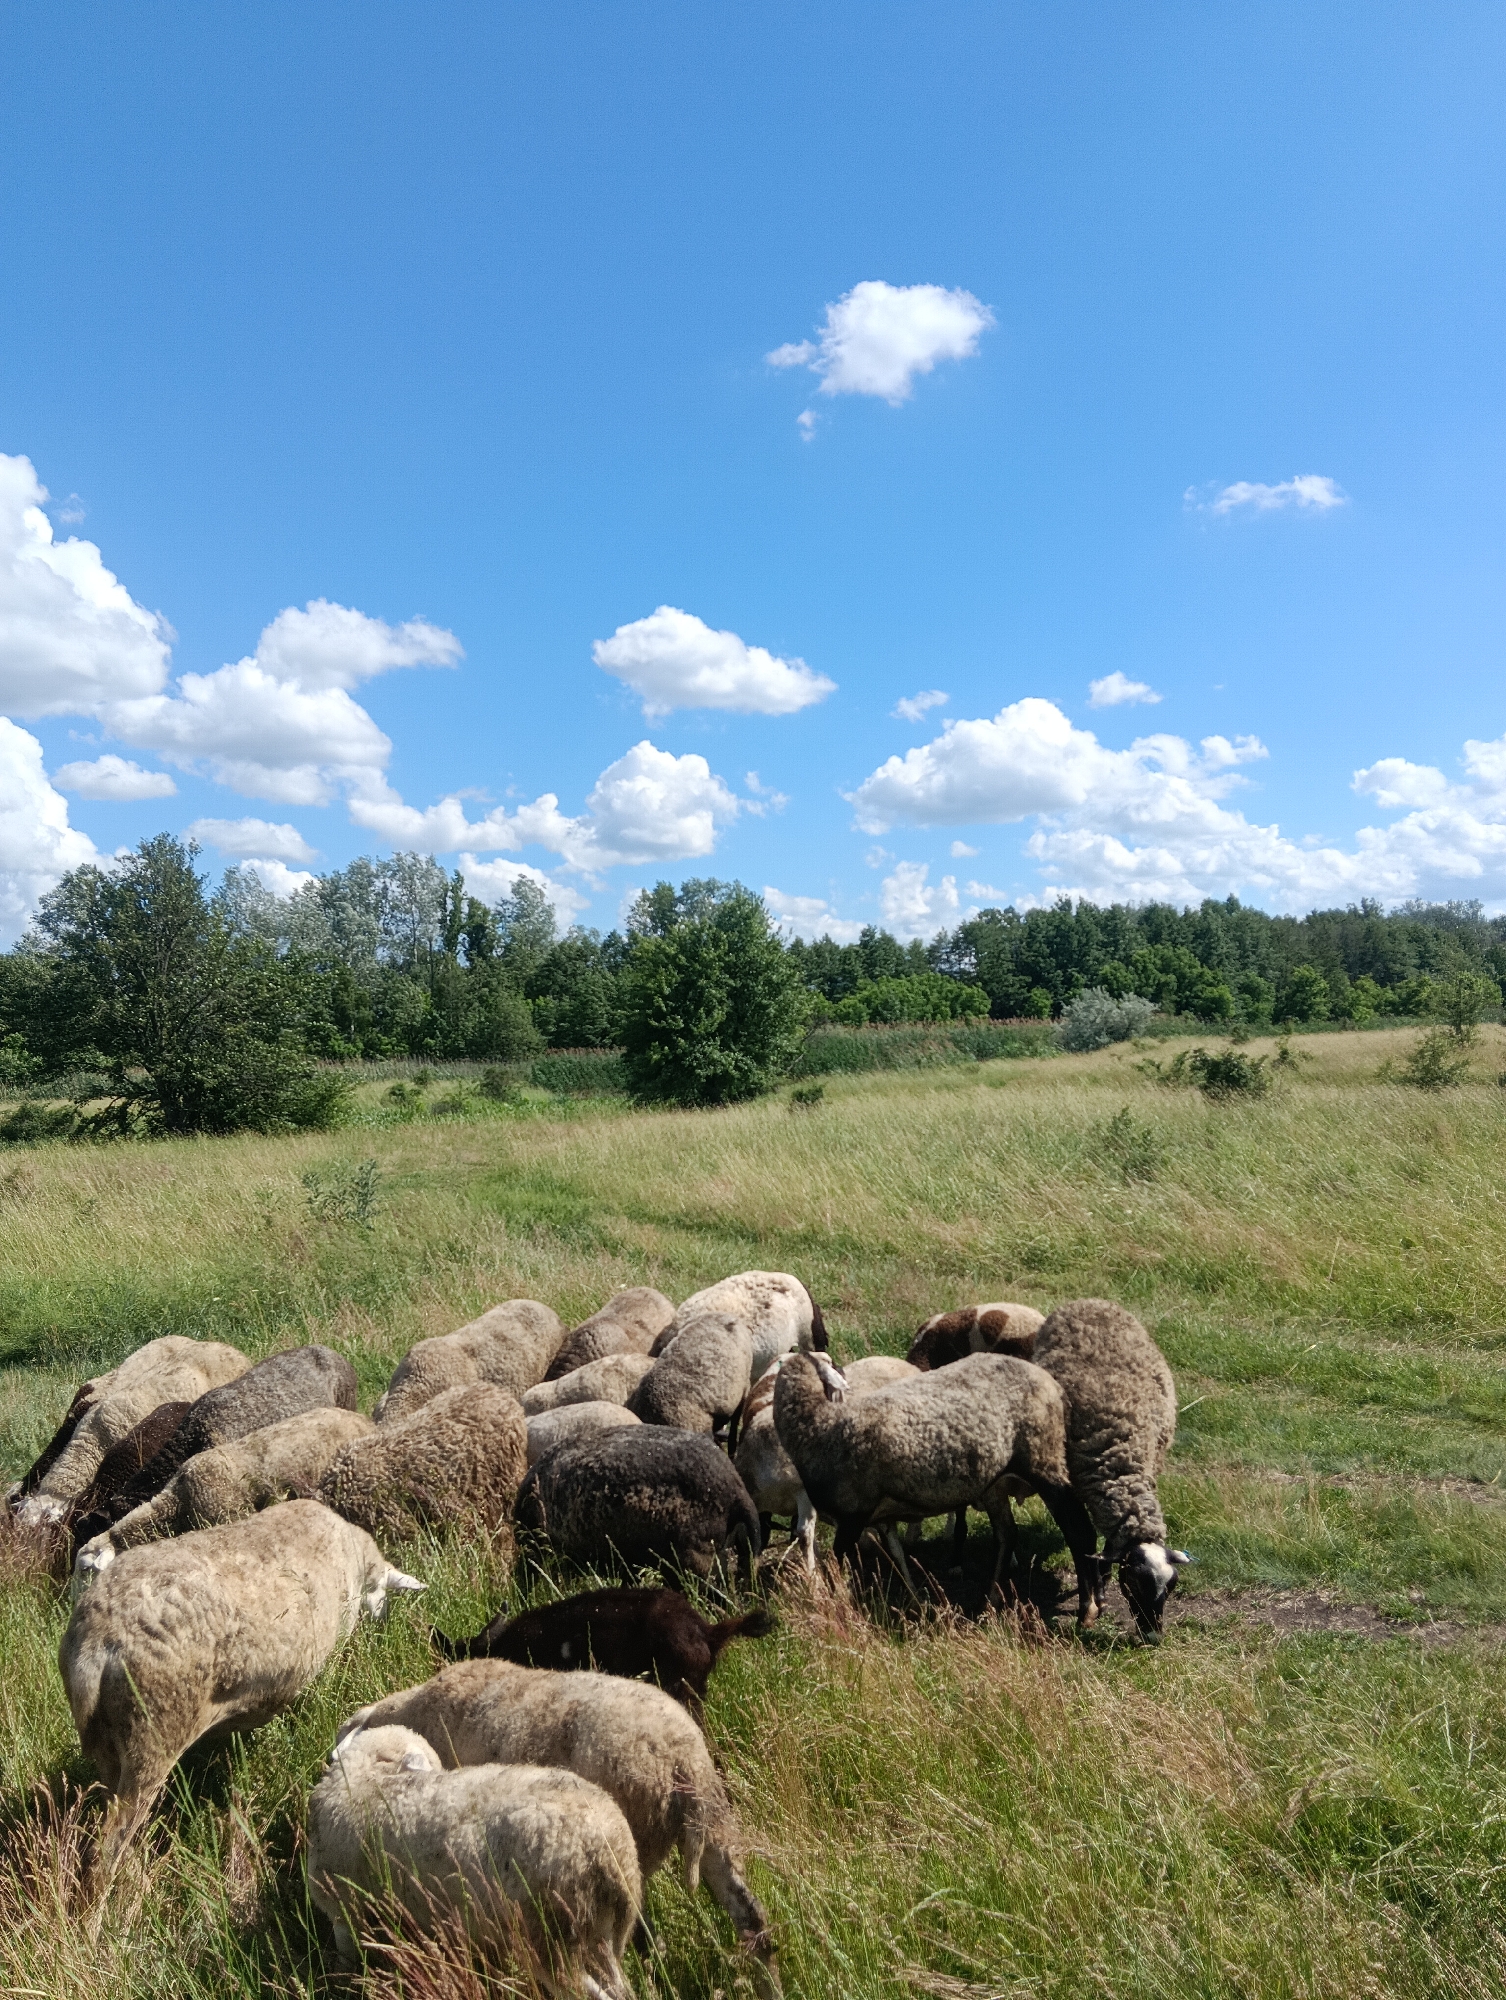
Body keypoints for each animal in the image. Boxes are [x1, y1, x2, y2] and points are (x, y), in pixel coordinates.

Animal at [307, 1723, 640, 1999]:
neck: (370, 1779)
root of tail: (607, 1850)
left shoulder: (341, 1902)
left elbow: (346, 1950)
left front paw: (340, 1980)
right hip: (604, 1934)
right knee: (619, 1988)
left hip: (549, 1938)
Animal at [772, 1350, 1098, 1594]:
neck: (818, 1426)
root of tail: (1051, 1383)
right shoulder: (878, 1518)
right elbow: (896, 1554)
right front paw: (912, 1594)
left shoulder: (852, 1516)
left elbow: (837, 1567)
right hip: (1003, 1479)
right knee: (1009, 1533)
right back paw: (992, 1601)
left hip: (1044, 1460)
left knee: (1078, 1528)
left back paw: (1089, 1606)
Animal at [1030, 1298, 1187, 1638]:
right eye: (1133, 1583)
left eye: (1171, 1586)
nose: (1153, 1637)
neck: (1121, 1465)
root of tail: (1089, 1300)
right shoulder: (1066, 1487)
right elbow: (1081, 1540)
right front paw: (1090, 1604)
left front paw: (1100, 1582)